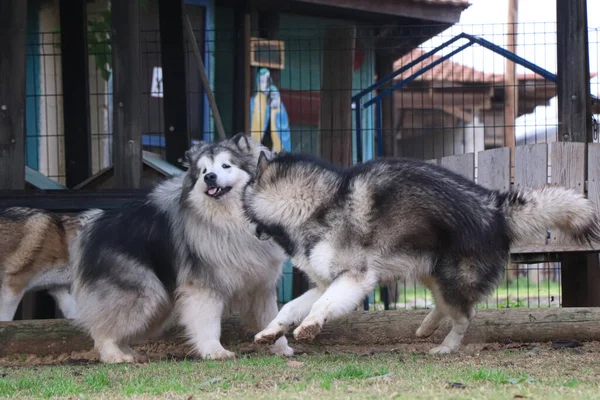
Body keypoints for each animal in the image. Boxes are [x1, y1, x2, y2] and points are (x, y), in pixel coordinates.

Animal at [240, 152, 600, 354]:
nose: (250, 231)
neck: (316, 205)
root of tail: (496, 209)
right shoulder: (326, 282)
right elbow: (290, 308)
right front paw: (272, 330)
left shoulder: (354, 278)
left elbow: (321, 306)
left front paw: (311, 325)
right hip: (431, 272)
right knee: (445, 306)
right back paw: (427, 327)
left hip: (451, 277)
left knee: (465, 315)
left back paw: (446, 347)